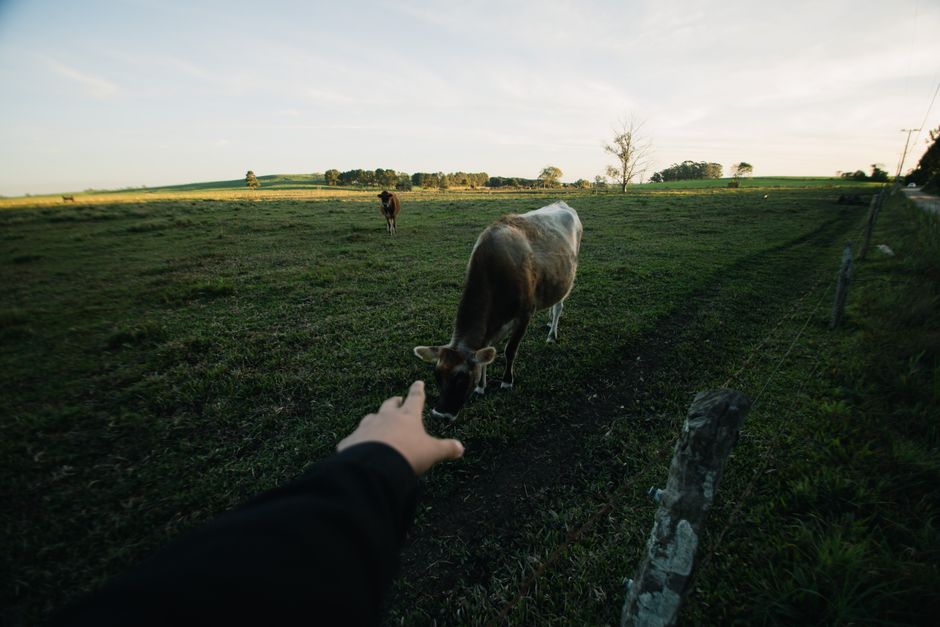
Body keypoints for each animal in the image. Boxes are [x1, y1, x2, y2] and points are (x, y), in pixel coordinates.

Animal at [414, 201, 583, 420]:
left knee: (558, 308)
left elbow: (509, 350)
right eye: (437, 376)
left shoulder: (525, 314)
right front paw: (481, 387)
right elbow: (486, 355)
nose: (440, 415)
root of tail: (562, 203)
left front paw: (506, 381)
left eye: (462, 378)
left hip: (566, 279)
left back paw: (552, 334)